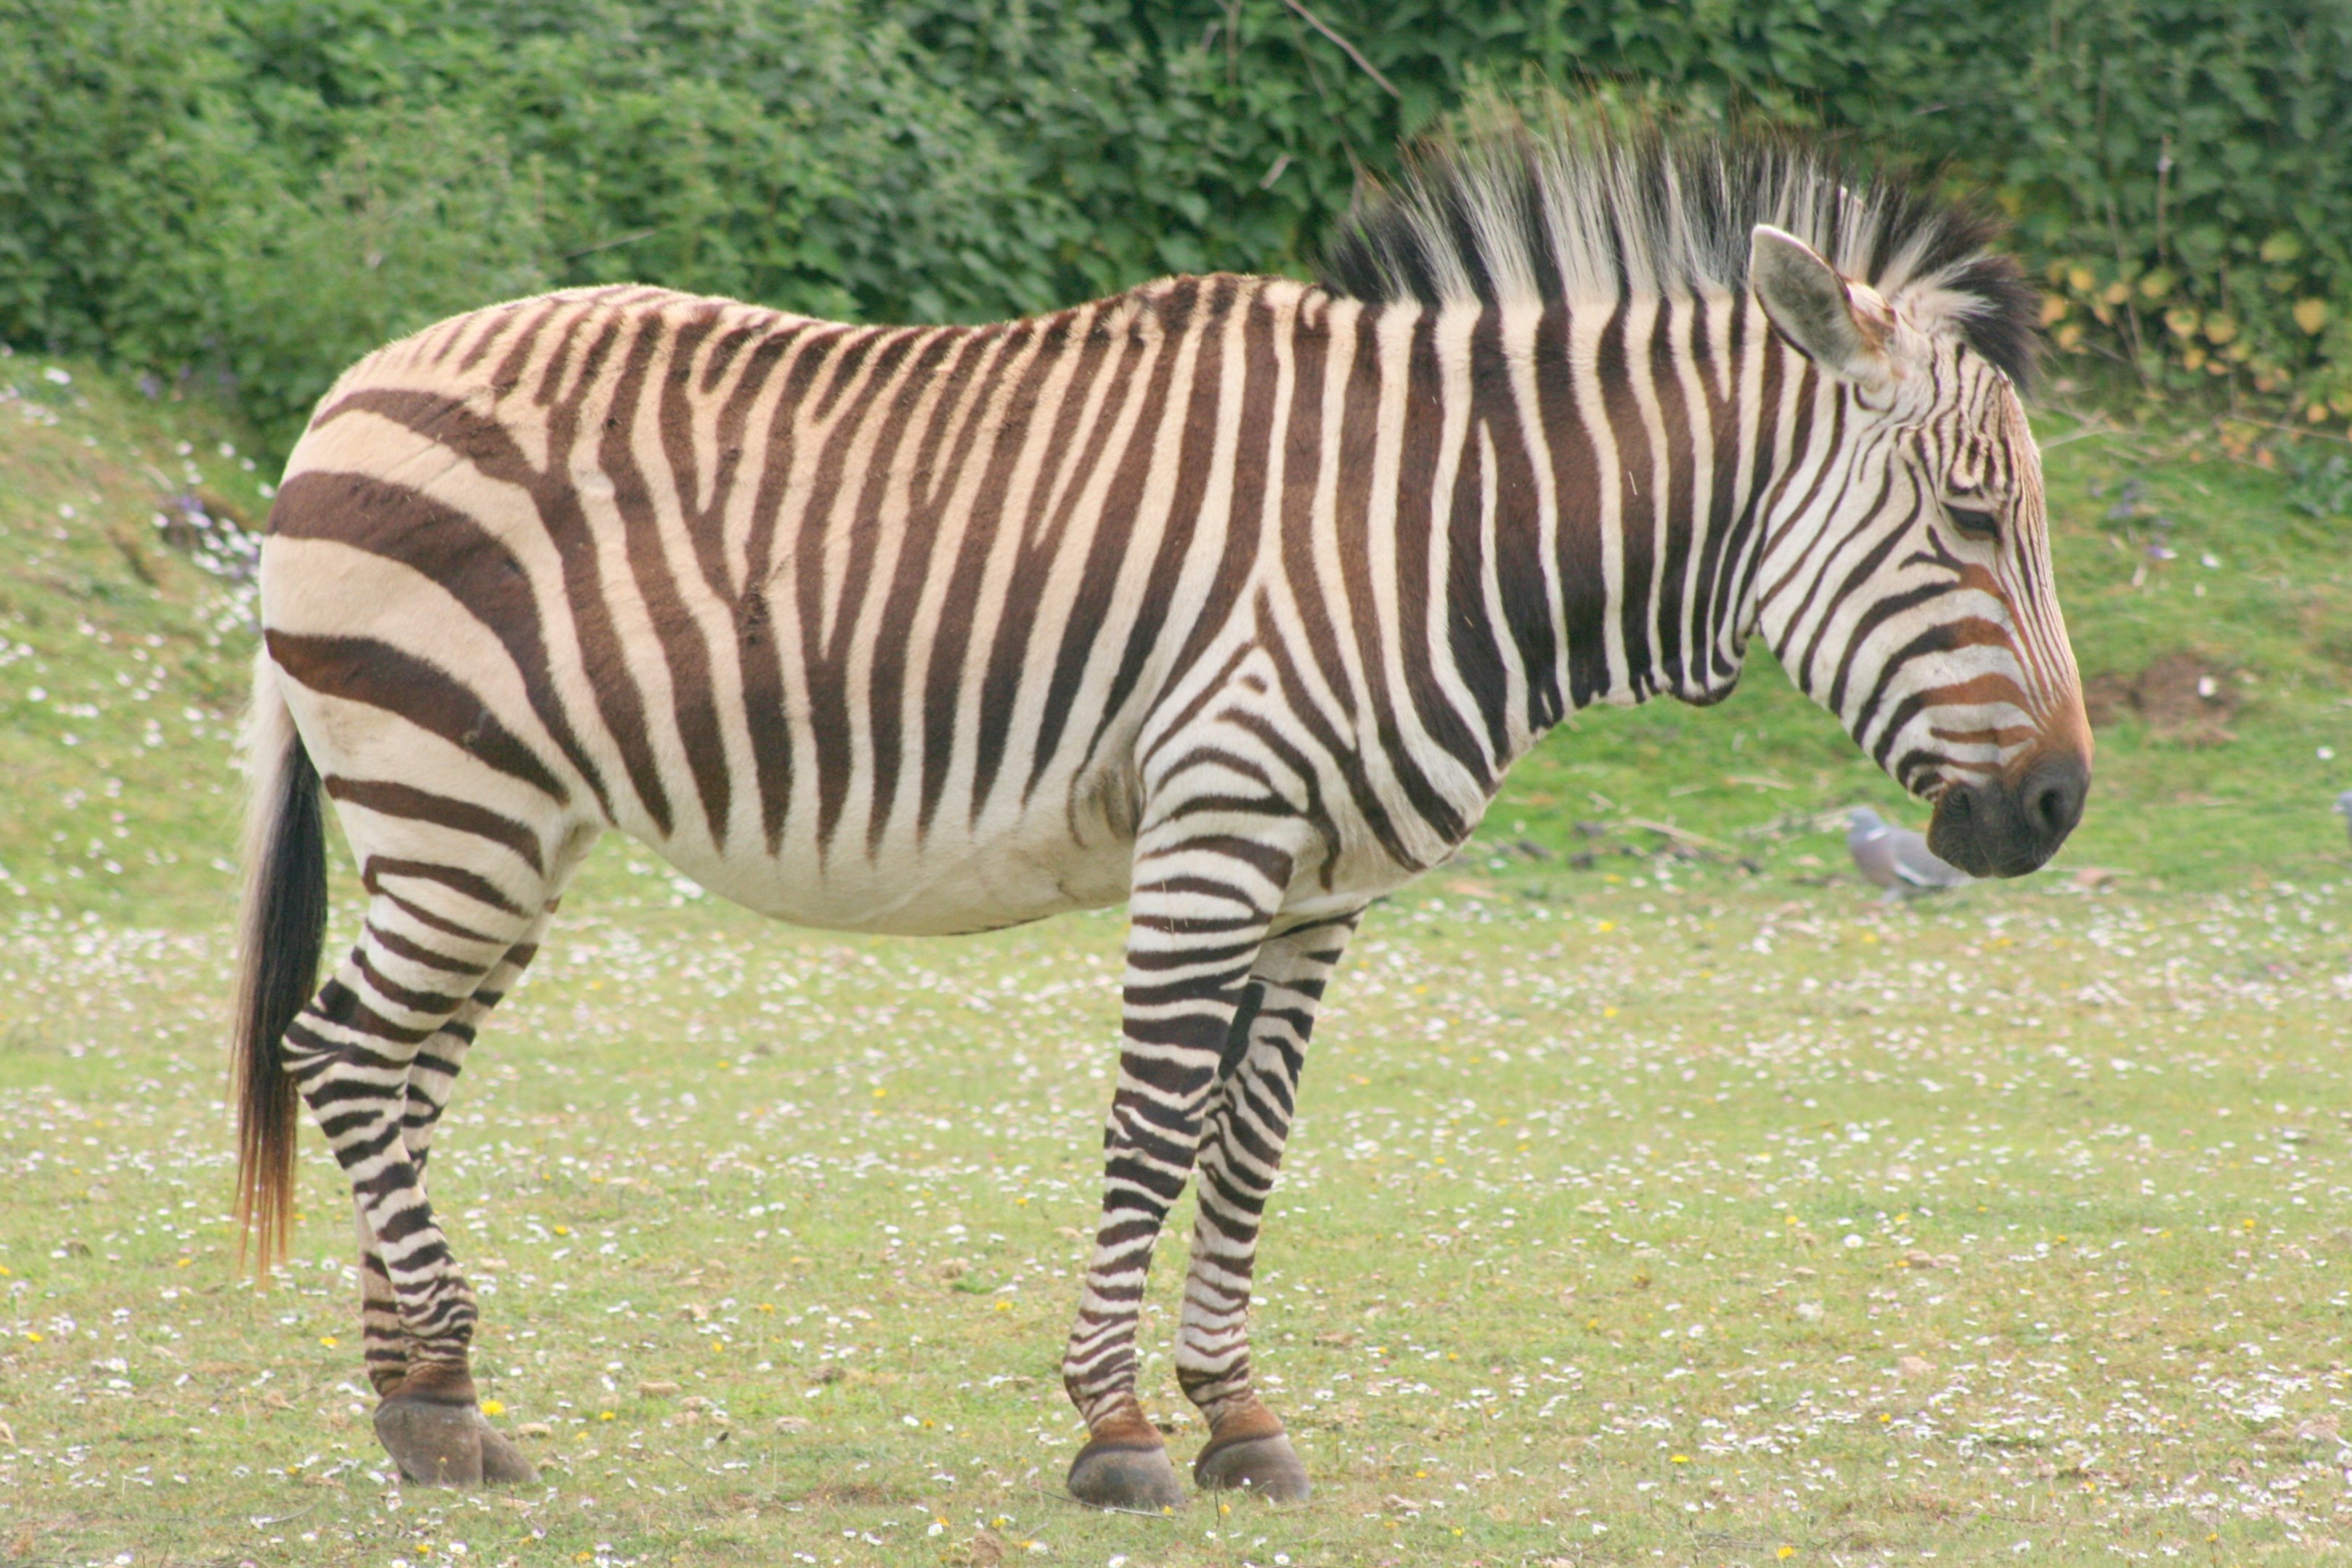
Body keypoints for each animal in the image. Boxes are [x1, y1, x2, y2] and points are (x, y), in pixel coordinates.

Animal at [230, 109, 2090, 1508]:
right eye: (1969, 517)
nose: (2059, 804)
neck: (1431, 533)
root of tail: (353, 380)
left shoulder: (1319, 884)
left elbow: (1247, 1143)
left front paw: (1238, 1415)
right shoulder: (1216, 826)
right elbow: (1149, 1120)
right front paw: (1115, 1429)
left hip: (494, 829)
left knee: (400, 1070)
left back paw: (422, 1398)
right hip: (453, 802)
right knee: (338, 1051)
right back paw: (444, 1380)